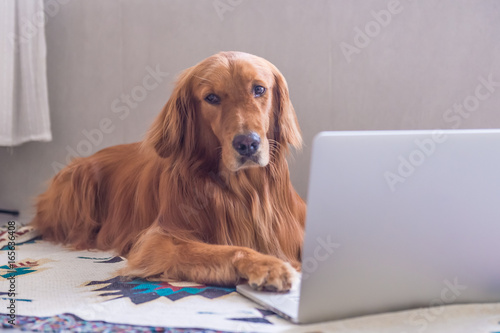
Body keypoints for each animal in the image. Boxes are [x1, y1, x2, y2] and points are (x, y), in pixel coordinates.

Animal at [32, 51, 304, 290]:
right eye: (211, 98)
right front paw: (268, 265)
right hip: (77, 180)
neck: (242, 189)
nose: (247, 144)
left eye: (259, 89)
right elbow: (231, 250)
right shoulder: (160, 240)